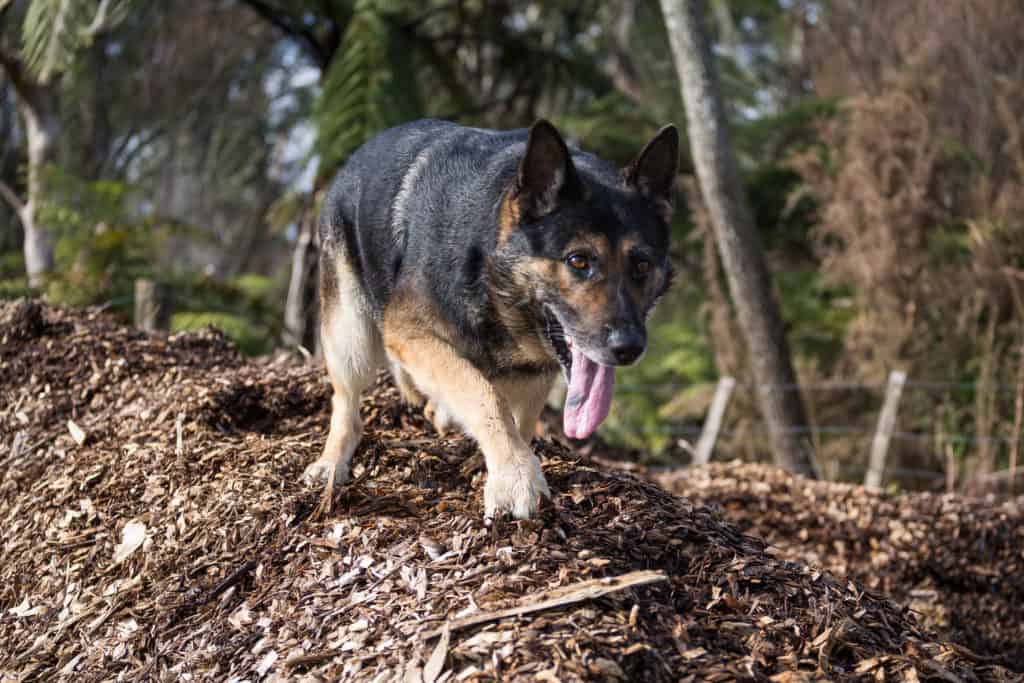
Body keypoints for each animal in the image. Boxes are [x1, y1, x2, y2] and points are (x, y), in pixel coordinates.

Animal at [307, 120, 684, 520]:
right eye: (578, 261)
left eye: (641, 265)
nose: (628, 348)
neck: (490, 272)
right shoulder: (411, 334)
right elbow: (485, 396)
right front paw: (516, 477)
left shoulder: (534, 373)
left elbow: (516, 419)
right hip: (352, 339)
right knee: (347, 404)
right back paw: (331, 463)